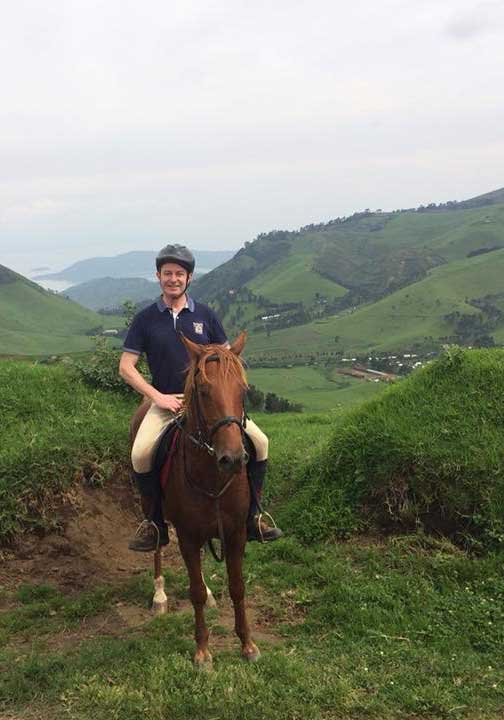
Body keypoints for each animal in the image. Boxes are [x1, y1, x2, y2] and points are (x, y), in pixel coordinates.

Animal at [129, 334, 260, 668]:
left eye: (243, 390)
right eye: (203, 391)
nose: (233, 459)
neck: (211, 475)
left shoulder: (236, 533)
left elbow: (237, 587)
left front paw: (247, 644)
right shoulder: (187, 536)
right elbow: (195, 591)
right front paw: (202, 651)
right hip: (152, 509)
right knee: (157, 546)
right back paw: (159, 596)